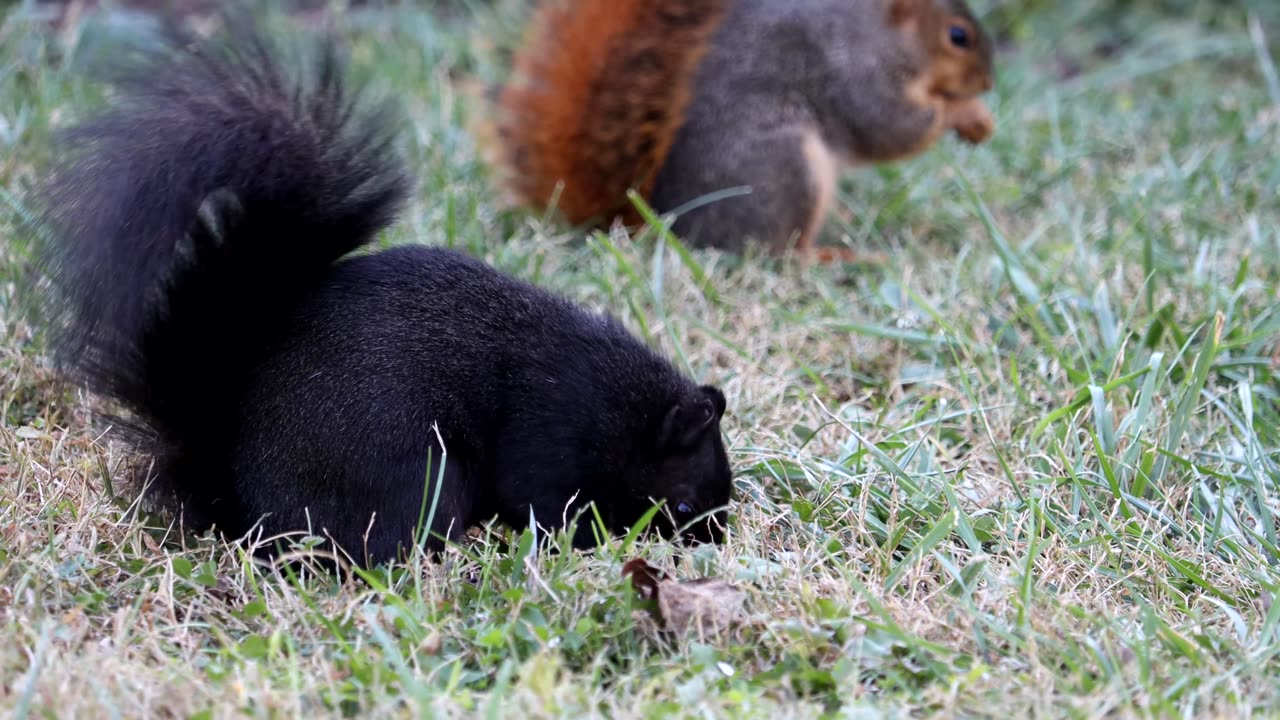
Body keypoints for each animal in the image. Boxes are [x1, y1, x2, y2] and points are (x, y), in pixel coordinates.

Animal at [35, 15, 732, 561]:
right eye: (683, 503)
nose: (714, 540)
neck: (619, 407)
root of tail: (245, 509)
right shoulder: (550, 438)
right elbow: (546, 503)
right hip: (415, 475)